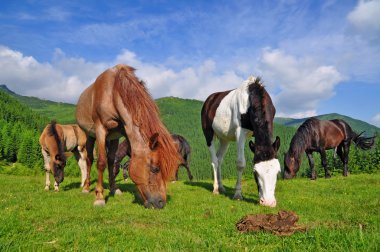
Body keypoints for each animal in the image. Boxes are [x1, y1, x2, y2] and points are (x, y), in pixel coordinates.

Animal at [76, 64, 180, 208]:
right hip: (89, 135)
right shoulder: (100, 129)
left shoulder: (122, 132)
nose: (161, 203)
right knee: (90, 159)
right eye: (155, 169)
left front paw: (114, 189)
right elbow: (101, 162)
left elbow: (112, 161)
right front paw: (99, 196)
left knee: (110, 159)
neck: (113, 92)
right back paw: (86, 187)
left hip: (112, 138)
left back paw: (113, 188)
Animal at [202, 76, 280, 207]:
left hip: (224, 139)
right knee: (214, 160)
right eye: (255, 172)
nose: (268, 202)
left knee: (219, 159)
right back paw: (216, 188)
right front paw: (238, 194)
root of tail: (210, 99)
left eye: (278, 172)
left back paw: (221, 187)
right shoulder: (240, 132)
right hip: (208, 133)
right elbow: (240, 163)